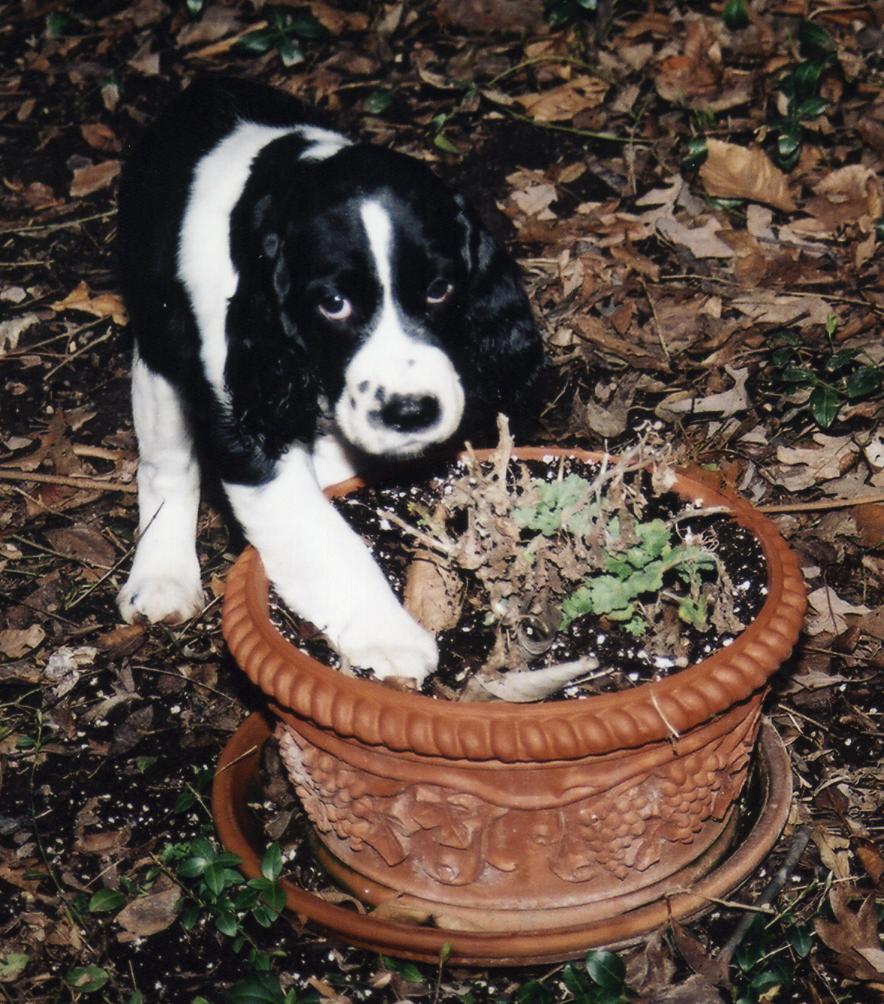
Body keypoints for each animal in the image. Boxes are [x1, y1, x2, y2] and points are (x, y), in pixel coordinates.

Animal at [115, 78, 546, 682]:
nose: (410, 413)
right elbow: (320, 533)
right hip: (157, 347)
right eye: (333, 304)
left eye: (440, 290)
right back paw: (161, 579)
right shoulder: (247, 419)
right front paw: (388, 637)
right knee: (165, 462)